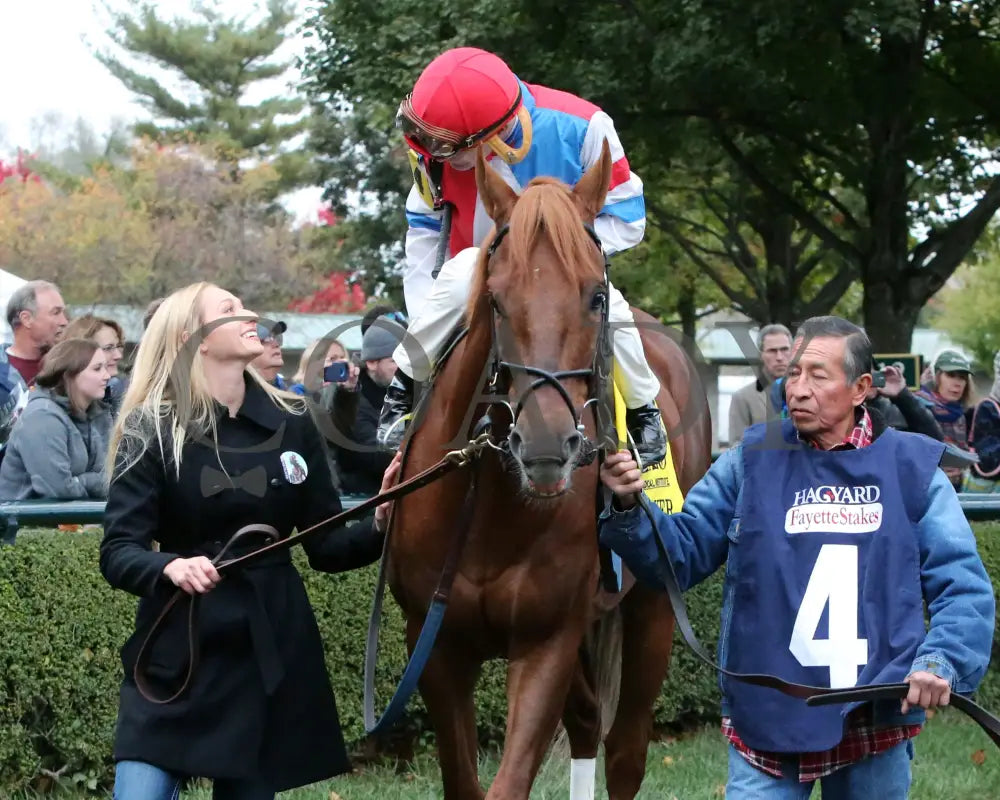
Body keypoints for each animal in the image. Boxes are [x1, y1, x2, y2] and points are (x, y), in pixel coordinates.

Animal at [390, 145, 712, 800]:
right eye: (495, 296)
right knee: (588, 720)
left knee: (625, 749)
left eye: (595, 297)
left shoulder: (547, 643)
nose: (543, 445)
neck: (493, 515)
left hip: (653, 608)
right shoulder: (433, 646)